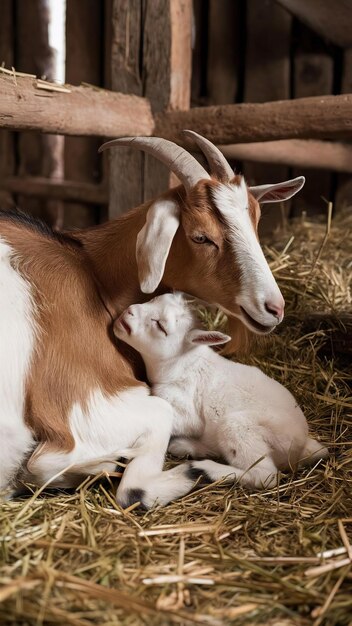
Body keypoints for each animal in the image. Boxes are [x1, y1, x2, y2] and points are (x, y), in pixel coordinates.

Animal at [0, 129, 302, 504]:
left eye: (256, 222)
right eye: (201, 236)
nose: (273, 307)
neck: (93, 276)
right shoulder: (82, 400)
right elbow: (79, 471)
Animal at [114, 292, 328, 492]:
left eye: (160, 326)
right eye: (153, 300)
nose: (129, 311)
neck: (183, 364)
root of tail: (301, 446)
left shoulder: (185, 410)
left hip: (239, 428)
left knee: (264, 476)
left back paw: (205, 468)